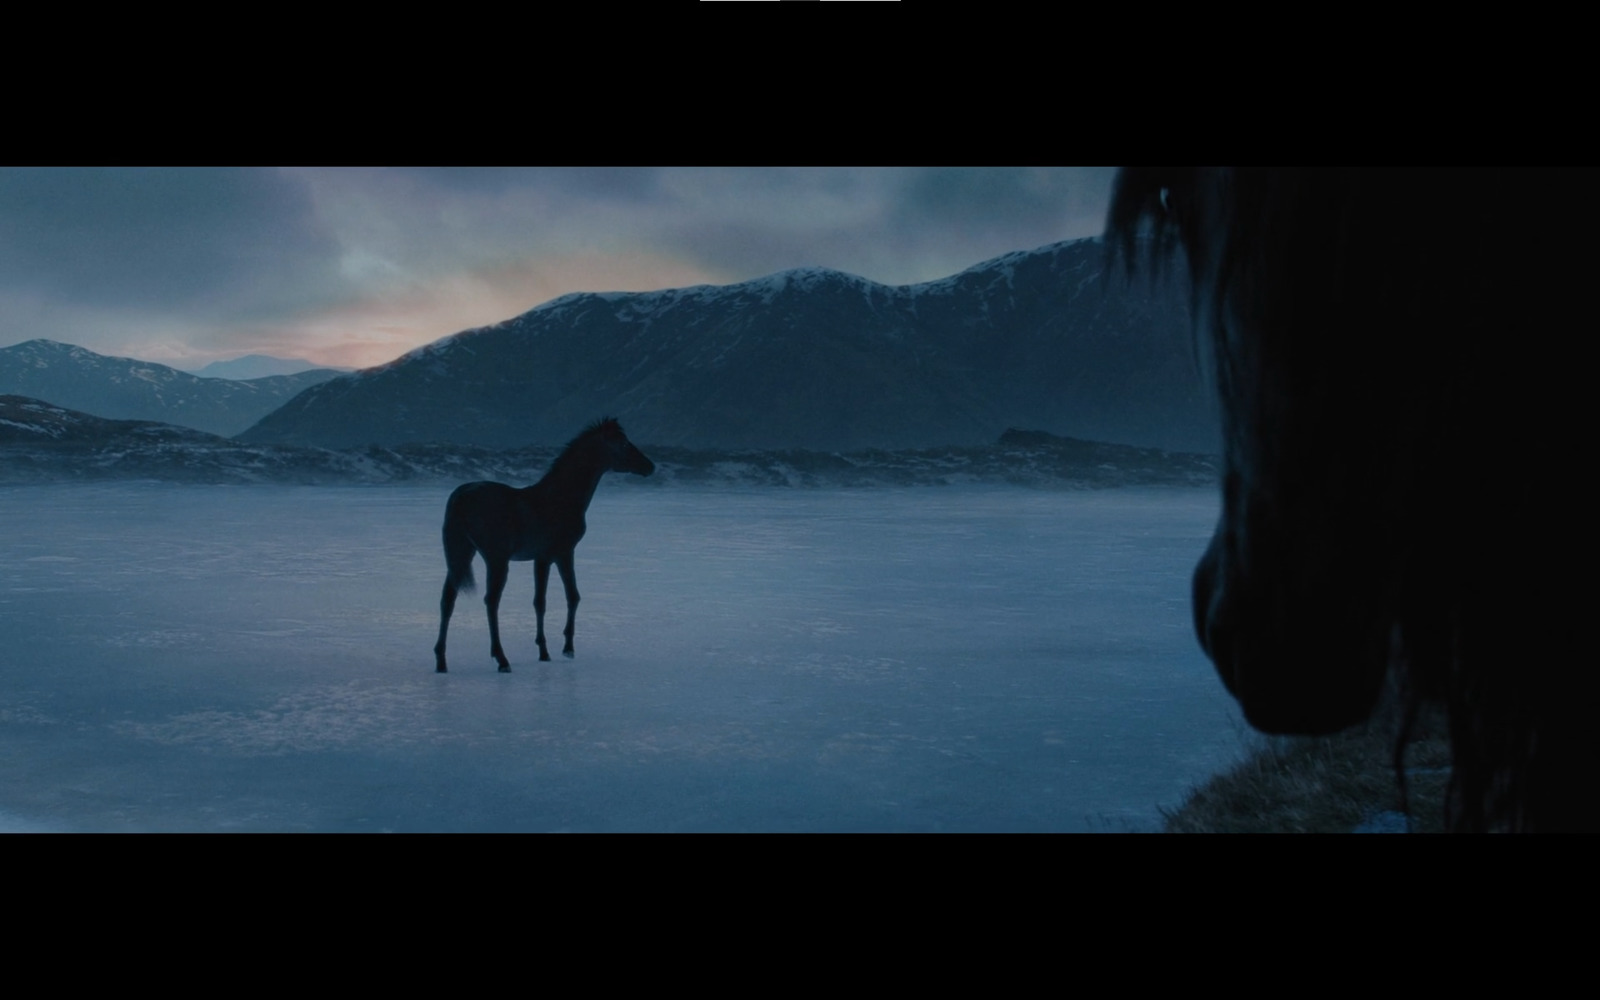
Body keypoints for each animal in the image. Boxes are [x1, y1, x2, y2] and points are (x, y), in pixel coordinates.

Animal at [432, 412, 656, 672]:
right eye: (623, 444)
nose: (650, 466)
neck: (561, 498)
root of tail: (459, 498)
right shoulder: (563, 553)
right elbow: (573, 596)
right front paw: (568, 648)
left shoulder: (541, 558)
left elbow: (540, 601)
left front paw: (544, 651)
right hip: (496, 559)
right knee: (491, 601)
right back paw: (501, 658)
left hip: (462, 553)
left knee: (447, 600)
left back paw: (441, 660)